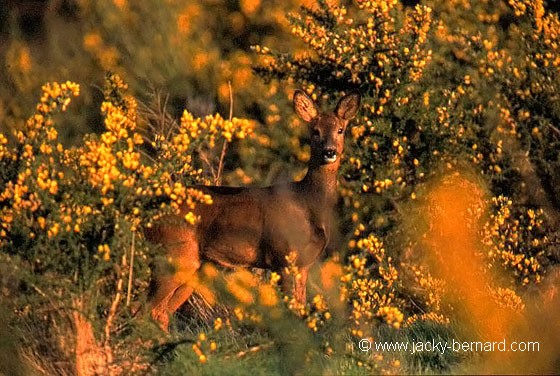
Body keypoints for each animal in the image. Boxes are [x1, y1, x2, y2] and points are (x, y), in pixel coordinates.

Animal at [147, 89, 360, 330]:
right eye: (315, 131)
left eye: (340, 129)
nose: (329, 151)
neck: (308, 202)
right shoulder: (283, 258)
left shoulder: (304, 265)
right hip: (173, 255)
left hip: (192, 265)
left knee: (161, 312)